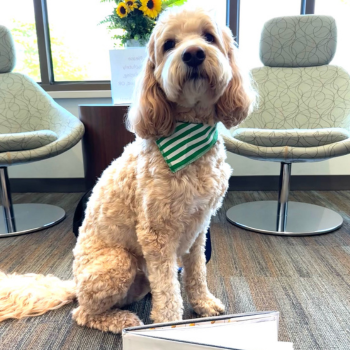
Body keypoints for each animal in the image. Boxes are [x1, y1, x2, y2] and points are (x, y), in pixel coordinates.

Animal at [0, 6, 253, 334]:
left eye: (209, 37)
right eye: (169, 44)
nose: (194, 54)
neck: (190, 136)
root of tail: (75, 285)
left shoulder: (199, 227)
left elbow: (197, 271)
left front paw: (203, 303)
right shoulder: (156, 234)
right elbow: (168, 288)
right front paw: (169, 325)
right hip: (117, 262)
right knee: (83, 313)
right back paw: (119, 320)